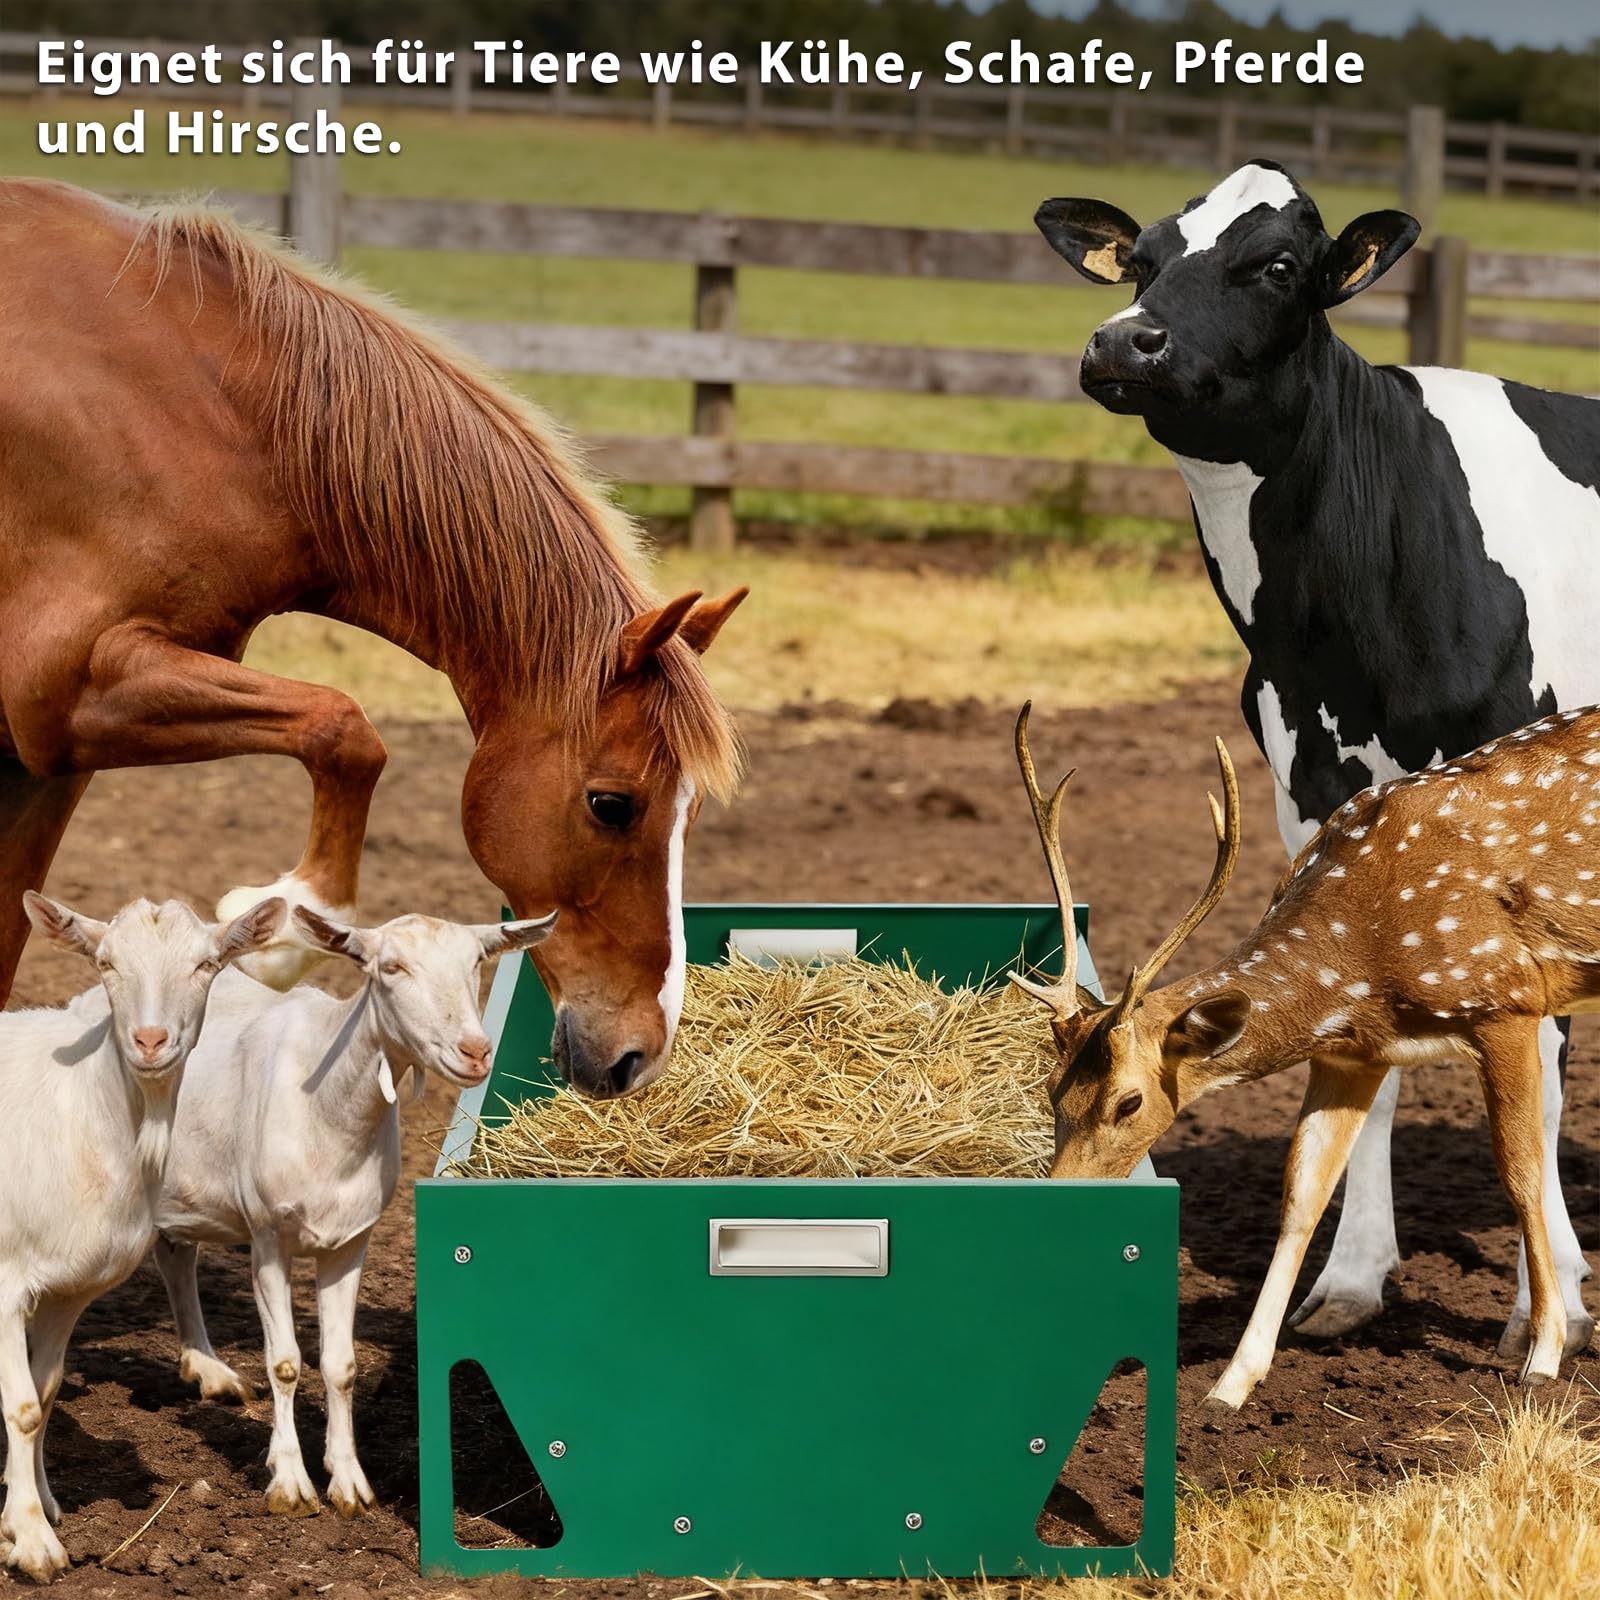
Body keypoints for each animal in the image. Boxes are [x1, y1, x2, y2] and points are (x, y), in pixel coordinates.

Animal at [0, 177, 744, 1100]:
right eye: (612, 804)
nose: (641, 1055)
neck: (205, 409)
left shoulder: (45, 757)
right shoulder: (72, 690)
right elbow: (346, 728)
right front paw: (286, 930)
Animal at [0, 892, 283, 1583]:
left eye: (206, 964)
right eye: (105, 962)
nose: (150, 1041)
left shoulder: (67, 1291)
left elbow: (44, 1396)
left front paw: (37, 1506)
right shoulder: (6, 1282)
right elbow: (21, 1406)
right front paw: (32, 1542)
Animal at [154, 904, 556, 1518]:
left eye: (476, 964)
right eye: (391, 967)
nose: (475, 1052)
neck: (327, 1106)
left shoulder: (351, 1239)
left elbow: (341, 1366)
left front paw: (348, 1484)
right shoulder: (267, 1236)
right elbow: (285, 1362)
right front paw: (290, 1484)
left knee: (176, 1254)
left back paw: (209, 1372)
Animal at [1033, 159, 1598, 1360]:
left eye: (1279, 265)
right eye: (1143, 257)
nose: (1124, 341)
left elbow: (1543, 1067)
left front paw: (1549, 1305)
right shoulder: (1316, 793)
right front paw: (1349, 1279)